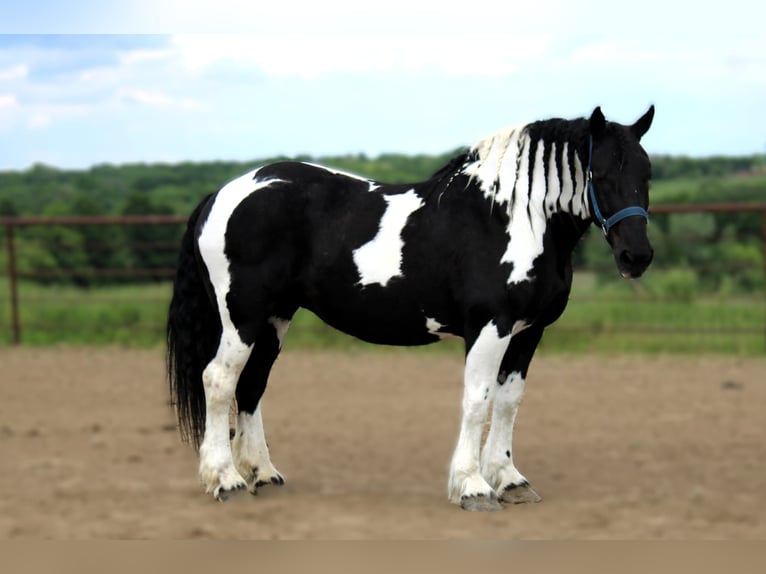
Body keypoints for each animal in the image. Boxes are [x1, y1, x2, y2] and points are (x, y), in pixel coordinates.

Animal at [167, 105, 655, 511]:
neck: (511, 219)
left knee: (251, 386)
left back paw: (263, 475)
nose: (637, 256)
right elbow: (477, 399)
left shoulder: (528, 330)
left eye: (647, 172)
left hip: (274, 319)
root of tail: (222, 194)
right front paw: (473, 487)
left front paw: (510, 480)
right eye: (600, 173)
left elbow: (508, 402)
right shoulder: (490, 326)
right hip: (242, 319)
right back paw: (226, 481)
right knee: (219, 381)